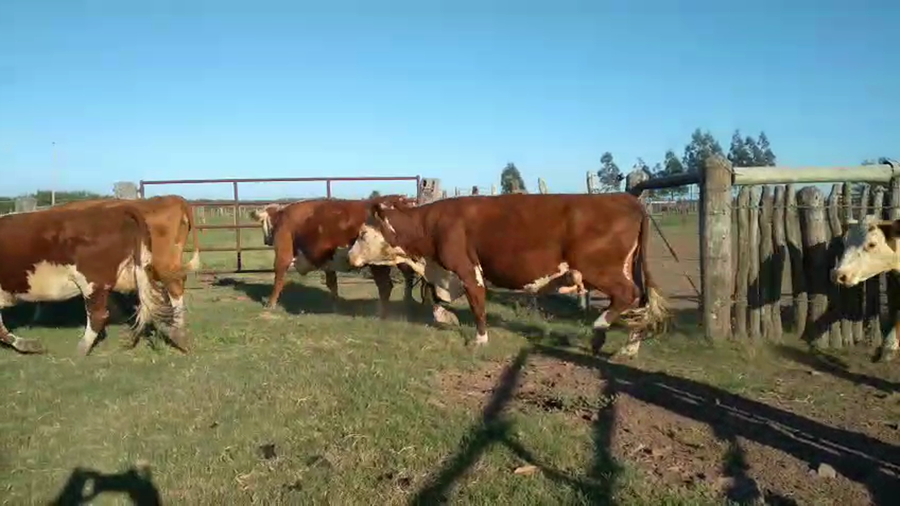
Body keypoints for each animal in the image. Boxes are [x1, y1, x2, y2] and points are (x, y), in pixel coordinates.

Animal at [0, 204, 181, 356]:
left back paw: (81, 349)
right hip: (138, 272)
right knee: (158, 297)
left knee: (98, 315)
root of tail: (118, 210)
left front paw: (27, 345)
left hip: (92, 283)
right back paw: (176, 334)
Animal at [249, 195, 430, 319]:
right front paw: (336, 305)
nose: (266, 240)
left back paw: (383, 312)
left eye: (263, 223)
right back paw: (409, 303)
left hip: (377, 264)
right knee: (408, 278)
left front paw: (270, 303)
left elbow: (278, 279)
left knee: (386, 286)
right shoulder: (328, 262)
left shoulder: (283, 255)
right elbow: (332, 284)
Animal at [346, 192, 670, 357]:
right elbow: (436, 300)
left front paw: (480, 340)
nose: (349, 256)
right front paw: (448, 318)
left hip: (600, 268)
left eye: (362, 234)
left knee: (628, 296)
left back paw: (599, 331)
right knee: (639, 303)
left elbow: (477, 305)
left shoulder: (467, 270)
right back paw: (630, 345)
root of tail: (626, 197)